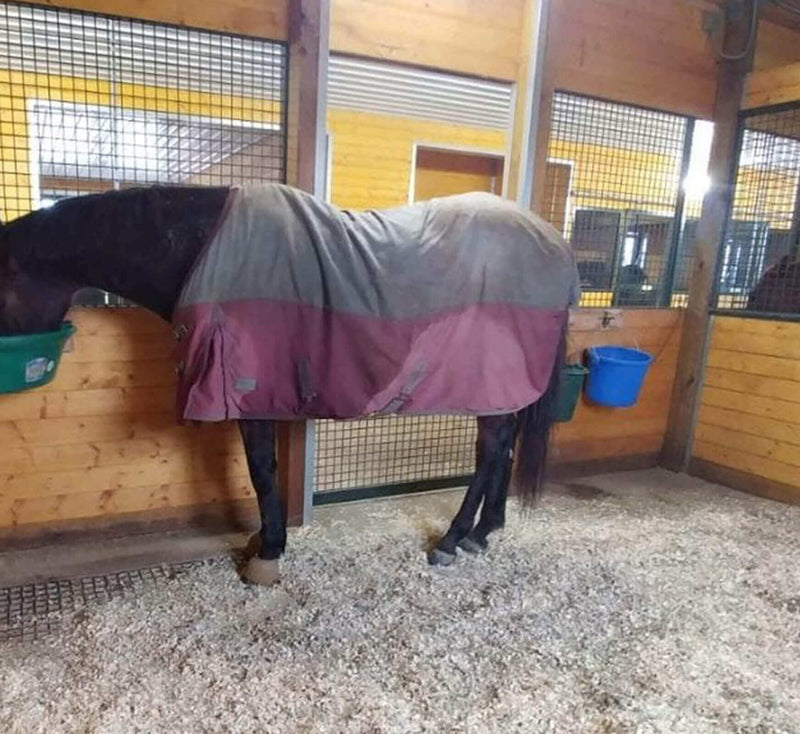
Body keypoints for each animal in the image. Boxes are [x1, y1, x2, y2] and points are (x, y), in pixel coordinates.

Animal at [0, 184, 580, 586]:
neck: (200, 249)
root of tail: (554, 245)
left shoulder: (246, 392)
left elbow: (260, 470)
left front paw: (268, 551)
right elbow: (267, 470)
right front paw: (265, 538)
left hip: (492, 382)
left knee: (491, 451)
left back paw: (453, 539)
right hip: (507, 388)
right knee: (505, 448)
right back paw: (485, 532)